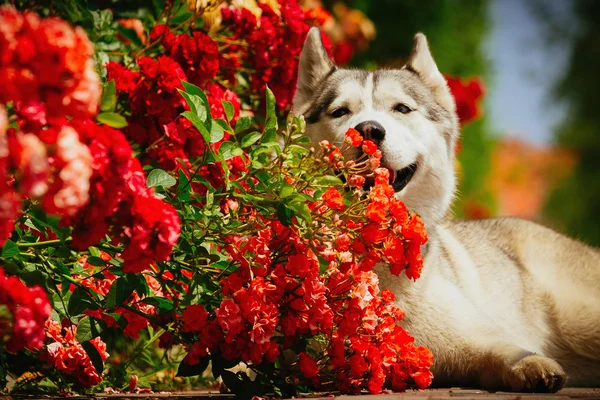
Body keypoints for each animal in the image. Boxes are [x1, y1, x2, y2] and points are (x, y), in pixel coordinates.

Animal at [292, 28, 600, 394]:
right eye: (340, 112)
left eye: (402, 109)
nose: (368, 129)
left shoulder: (473, 333)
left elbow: (504, 347)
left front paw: (531, 364)